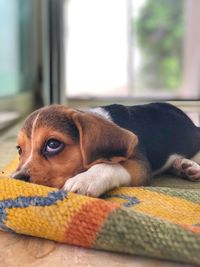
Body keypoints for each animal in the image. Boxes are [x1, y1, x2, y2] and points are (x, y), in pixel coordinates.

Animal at [11, 102, 200, 197]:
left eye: (53, 144)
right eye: (19, 149)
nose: (17, 179)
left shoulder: (140, 165)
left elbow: (110, 165)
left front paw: (86, 179)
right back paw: (184, 167)